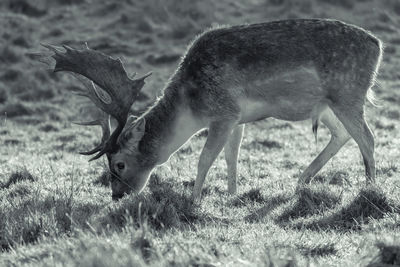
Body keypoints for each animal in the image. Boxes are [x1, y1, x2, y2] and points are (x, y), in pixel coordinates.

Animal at [36, 18, 382, 202]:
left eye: (119, 163)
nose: (117, 195)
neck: (192, 104)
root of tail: (379, 46)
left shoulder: (224, 112)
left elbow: (205, 158)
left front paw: (194, 199)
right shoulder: (239, 118)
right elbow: (231, 156)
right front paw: (231, 195)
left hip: (348, 94)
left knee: (367, 137)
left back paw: (369, 188)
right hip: (327, 105)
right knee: (342, 135)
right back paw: (301, 181)